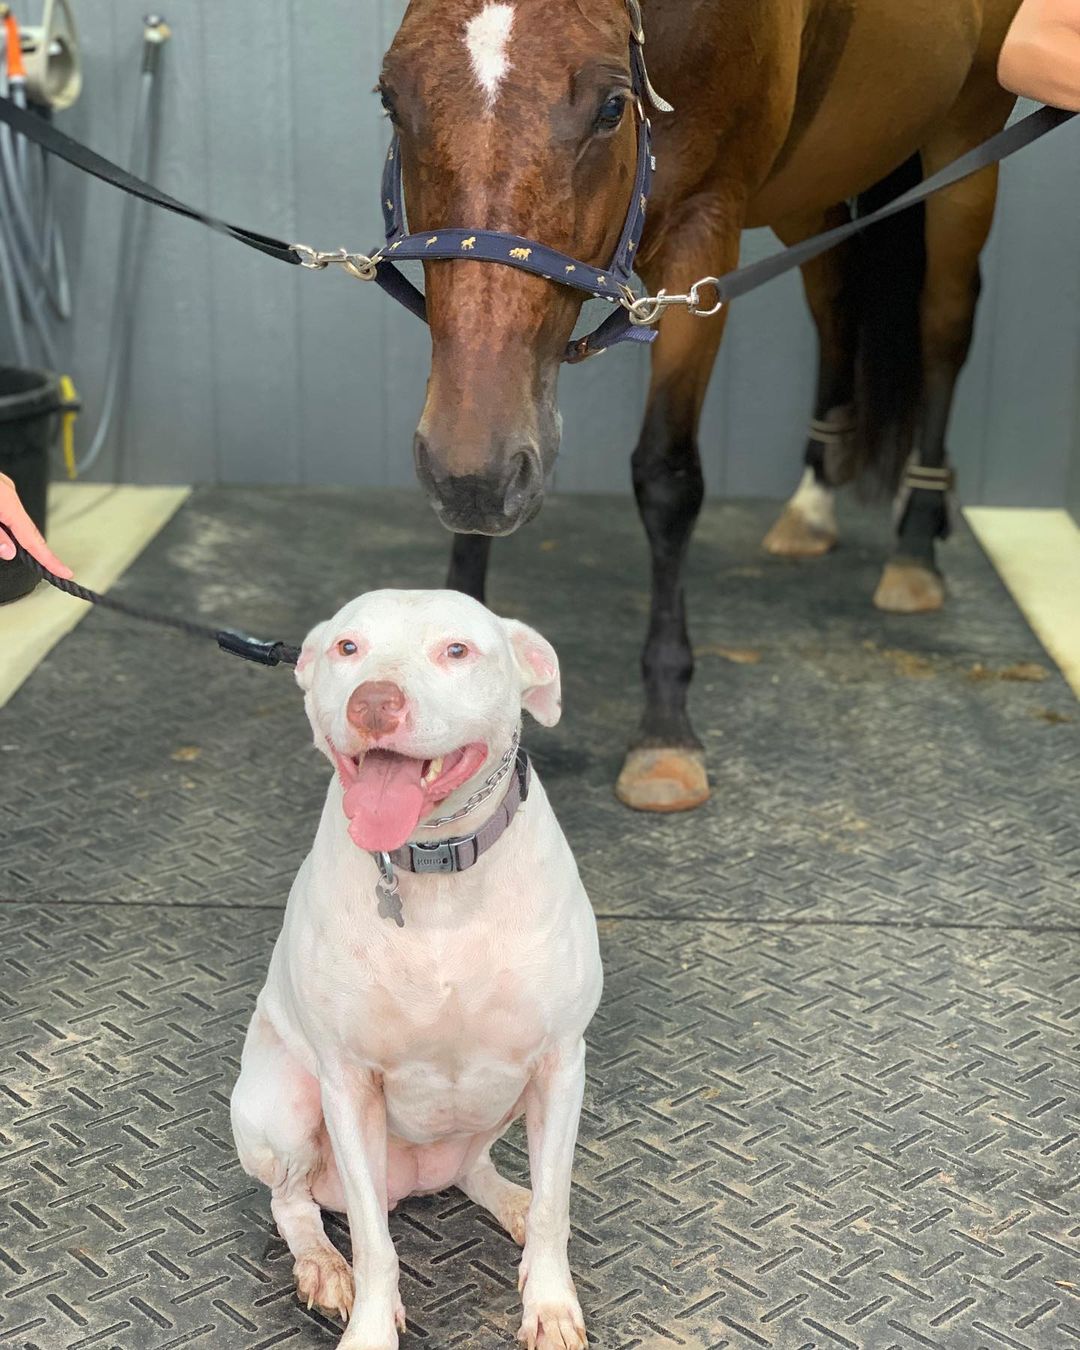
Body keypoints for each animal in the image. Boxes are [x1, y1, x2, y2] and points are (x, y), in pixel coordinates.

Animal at [229, 591, 599, 1350]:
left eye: (457, 650)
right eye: (347, 647)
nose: (374, 702)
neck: (434, 865)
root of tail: (417, 1180)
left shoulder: (559, 1064)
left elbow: (556, 1204)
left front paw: (550, 1305)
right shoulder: (348, 1084)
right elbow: (375, 1244)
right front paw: (370, 1328)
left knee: (479, 1169)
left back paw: (511, 1204)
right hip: (282, 1106)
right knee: (292, 1203)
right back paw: (321, 1265)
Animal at [380, 0, 1020, 810]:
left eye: (612, 107)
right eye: (390, 100)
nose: (472, 480)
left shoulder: (702, 238)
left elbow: (667, 479)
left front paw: (665, 729)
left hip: (965, 148)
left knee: (944, 324)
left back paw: (915, 541)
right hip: (813, 190)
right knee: (835, 299)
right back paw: (812, 502)